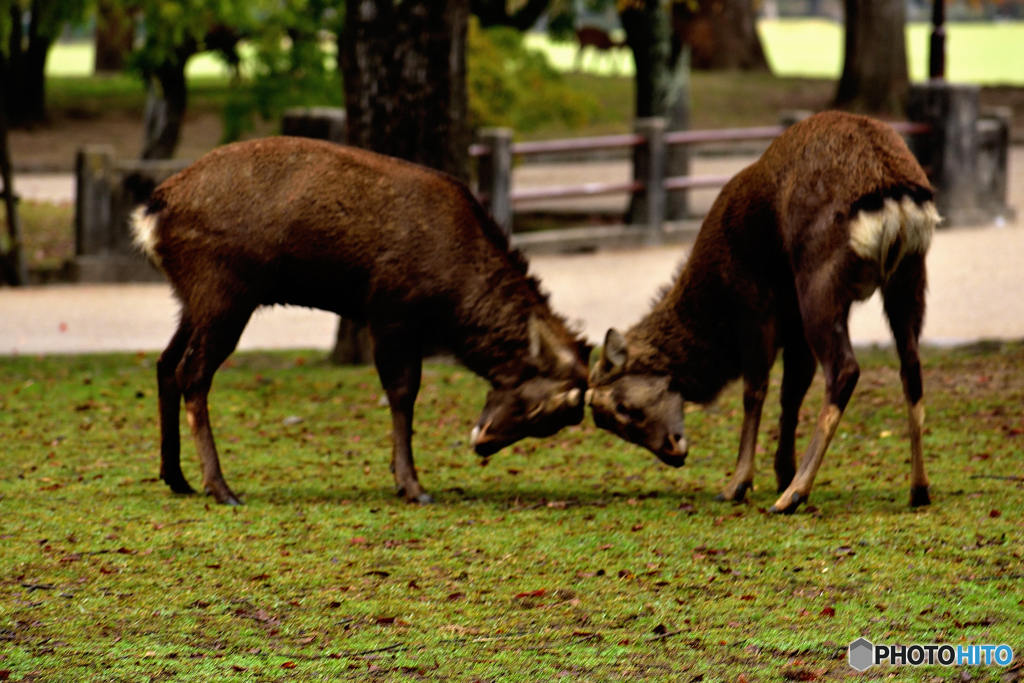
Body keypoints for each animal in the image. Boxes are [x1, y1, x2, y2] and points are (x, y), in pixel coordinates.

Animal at [134, 136, 593, 505]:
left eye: (553, 422)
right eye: (542, 406)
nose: (482, 443)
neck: (452, 298)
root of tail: (151, 213)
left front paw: (401, 477)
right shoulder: (390, 308)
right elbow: (402, 392)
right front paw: (412, 486)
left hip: (191, 299)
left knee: (164, 363)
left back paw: (176, 477)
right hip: (224, 291)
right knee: (192, 371)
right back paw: (221, 487)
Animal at [589, 112, 937, 516]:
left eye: (622, 406)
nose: (673, 453)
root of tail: (896, 196)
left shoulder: (753, 306)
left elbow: (754, 390)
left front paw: (739, 483)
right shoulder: (794, 330)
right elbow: (792, 392)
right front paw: (782, 470)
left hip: (819, 280)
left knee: (845, 368)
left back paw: (793, 495)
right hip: (909, 276)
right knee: (911, 365)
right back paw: (917, 488)